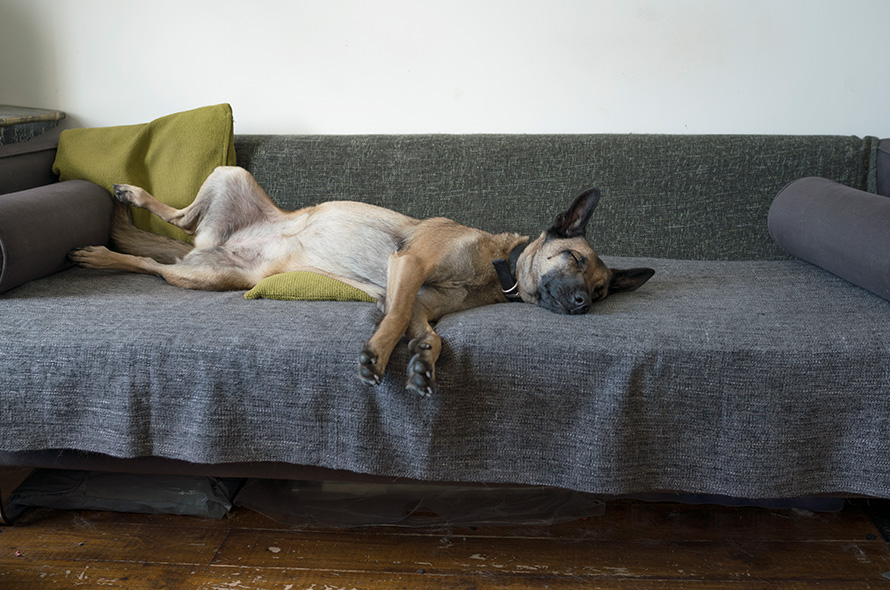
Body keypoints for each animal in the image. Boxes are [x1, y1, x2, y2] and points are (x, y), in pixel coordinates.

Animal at [71, 168, 652, 398]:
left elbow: (430, 335)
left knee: (162, 257)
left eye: (602, 290)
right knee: (170, 226)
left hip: (210, 274)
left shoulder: (421, 302)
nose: (583, 303)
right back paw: (112, 233)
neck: (493, 266)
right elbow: (391, 320)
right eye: (573, 257)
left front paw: (422, 365)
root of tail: (215, 245)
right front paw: (379, 355)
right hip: (229, 177)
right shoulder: (408, 265)